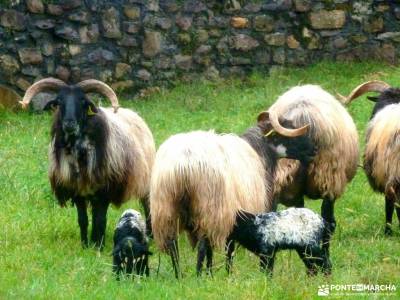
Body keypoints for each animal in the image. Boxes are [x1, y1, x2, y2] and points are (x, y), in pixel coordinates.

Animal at [19, 77, 156, 248]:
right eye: (59, 101)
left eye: (83, 101)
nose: (69, 123)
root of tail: (132, 113)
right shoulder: (77, 190)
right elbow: (83, 220)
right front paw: (85, 245)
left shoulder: (104, 190)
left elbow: (100, 220)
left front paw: (99, 246)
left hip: (145, 179)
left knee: (147, 205)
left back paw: (150, 235)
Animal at [148, 110, 314, 278]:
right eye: (290, 129)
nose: (314, 151)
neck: (259, 150)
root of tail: (184, 164)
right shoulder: (234, 216)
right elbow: (229, 249)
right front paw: (227, 274)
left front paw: (211, 274)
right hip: (210, 208)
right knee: (202, 245)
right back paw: (198, 275)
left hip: (166, 209)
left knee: (174, 245)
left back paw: (179, 276)